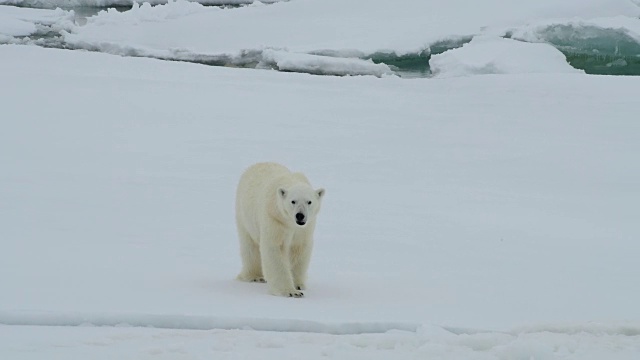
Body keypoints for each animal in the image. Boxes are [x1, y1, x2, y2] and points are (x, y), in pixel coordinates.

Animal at [235, 162, 324, 296]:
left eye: (309, 202)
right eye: (293, 201)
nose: (300, 215)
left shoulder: (304, 228)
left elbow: (299, 248)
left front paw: (298, 285)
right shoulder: (275, 219)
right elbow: (275, 249)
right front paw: (290, 292)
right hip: (245, 215)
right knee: (250, 246)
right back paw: (254, 276)